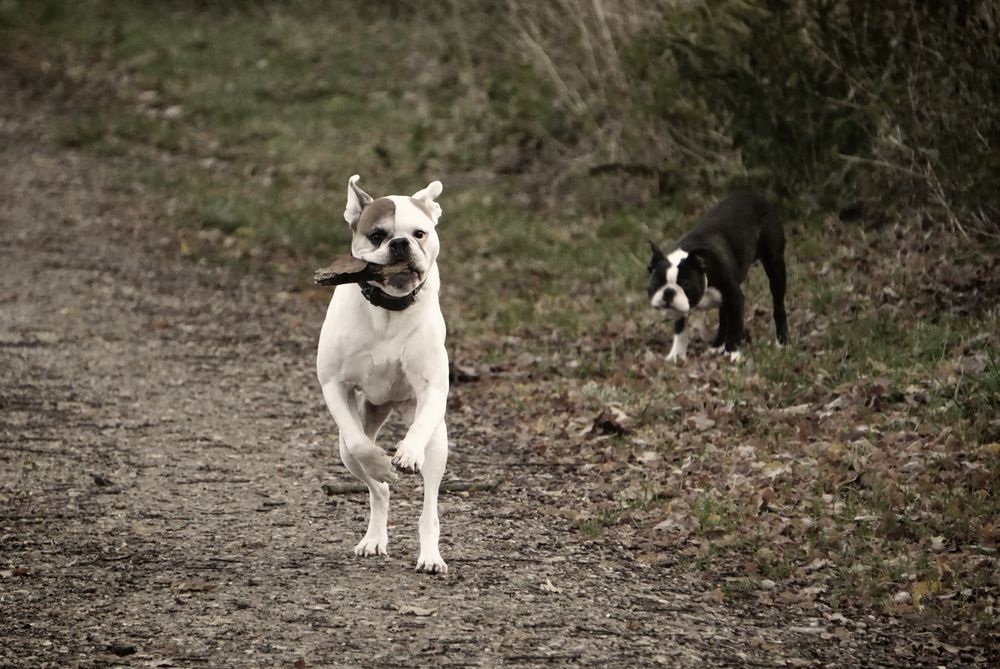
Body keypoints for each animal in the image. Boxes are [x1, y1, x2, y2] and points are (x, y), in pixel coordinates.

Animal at [316, 175, 450, 572]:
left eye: (420, 233)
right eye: (377, 235)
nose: (401, 243)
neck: (391, 307)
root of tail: (387, 405)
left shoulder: (433, 389)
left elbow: (420, 427)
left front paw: (406, 453)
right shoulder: (334, 385)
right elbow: (362, 445)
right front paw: (379, 461)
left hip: (439, 444)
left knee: (429, 507)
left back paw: (430, 555)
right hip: (346, 449)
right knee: (379, 489)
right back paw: (374, 537)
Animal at [648, 193, 788, 360]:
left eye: (686, 284)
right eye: (657, 282)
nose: (669, 292)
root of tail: (756, 196)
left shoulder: (735, 297)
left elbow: (735, 327)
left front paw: (732, 353)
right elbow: (680, 330)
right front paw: (676, 355)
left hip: (775, 265)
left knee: (778, 305)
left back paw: (782, 341)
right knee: (724, 319)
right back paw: (717, 345)